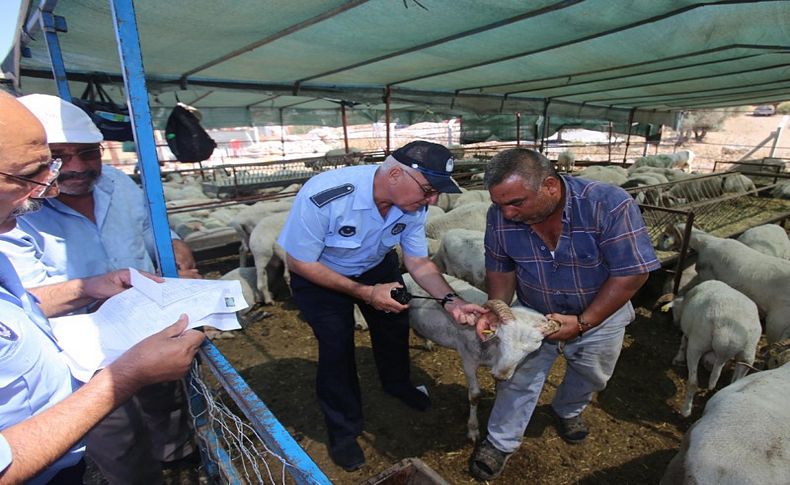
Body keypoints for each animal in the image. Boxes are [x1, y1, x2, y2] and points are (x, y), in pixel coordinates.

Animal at [406, 274, 560, 440]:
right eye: (500, 338)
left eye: (534, 348)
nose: (501, 375)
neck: (493, 353)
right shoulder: (468, 360)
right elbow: (474, 396)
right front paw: (473, 429)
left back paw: (428, 343)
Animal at [672, 280, 764, 416]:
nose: (675, 325)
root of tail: (730, 331)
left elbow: (684, 339)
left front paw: (678, 358)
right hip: (748, 355)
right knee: (734, 381)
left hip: (698, 343)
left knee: (693, 383)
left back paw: (686, 410)